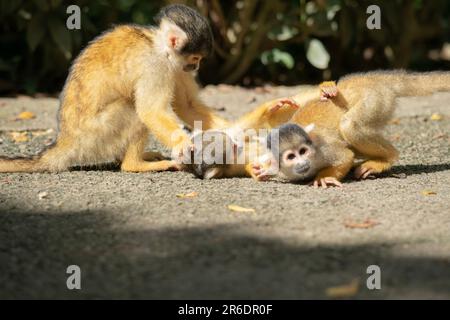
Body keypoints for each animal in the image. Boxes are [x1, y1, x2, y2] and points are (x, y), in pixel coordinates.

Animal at [0, 4, 229, 172]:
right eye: (195, 58)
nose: (196, 67)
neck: (159, 47)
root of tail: (66, 139)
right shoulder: (155, 64)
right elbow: (151, 111)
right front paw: (183, 144)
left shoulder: (176, 67)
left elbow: (186, 105)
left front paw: (235, 129)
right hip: (94, 136)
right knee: (132, 110)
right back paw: (134, 165)